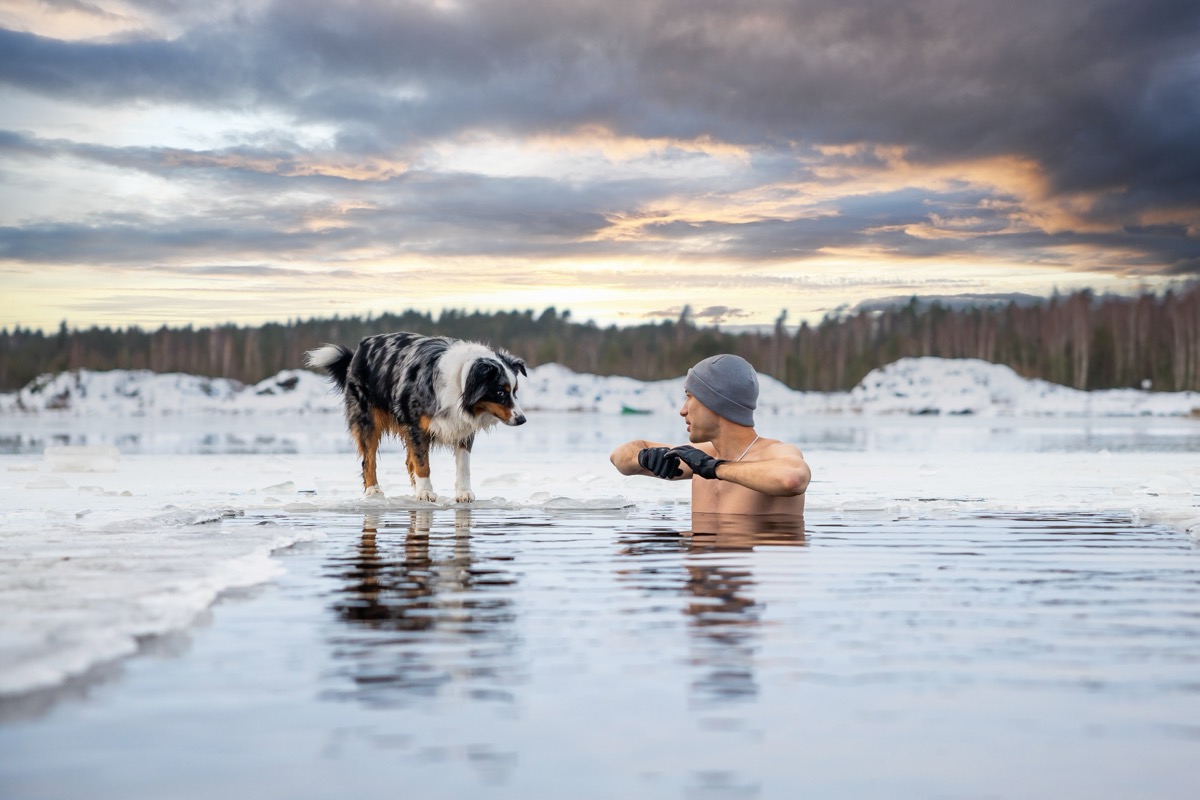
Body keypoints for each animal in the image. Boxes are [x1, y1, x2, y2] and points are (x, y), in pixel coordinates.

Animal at [304, 335, 525, 503]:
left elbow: (463, 465)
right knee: (369, 460)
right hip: (368, 420)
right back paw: (373, 490)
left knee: (407, 462)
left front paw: (463, 493)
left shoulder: (462, 428)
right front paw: (426, 492)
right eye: (501, 392)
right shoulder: (416, 426)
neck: (461, 380)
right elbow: (422, 463)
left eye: (515, 391)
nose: (522, 419)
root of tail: (359, 349)